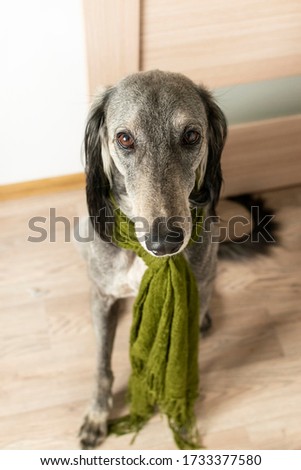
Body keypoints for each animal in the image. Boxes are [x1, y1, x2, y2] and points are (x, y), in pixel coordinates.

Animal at [77, 69, 225, 448]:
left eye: (191, 135)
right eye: (124, 138)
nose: (163, 241)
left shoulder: (193, 294)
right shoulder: (102, 295)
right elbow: (101, 366)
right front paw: (97, 414)